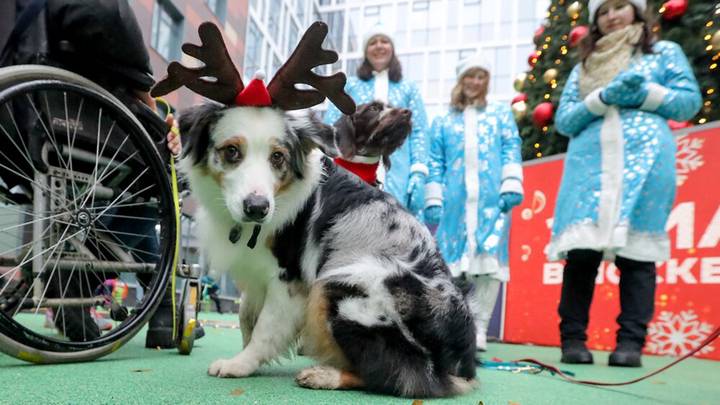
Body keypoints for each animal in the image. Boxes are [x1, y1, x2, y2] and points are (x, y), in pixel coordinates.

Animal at [176, 102, 476, 396]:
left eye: (277, 157)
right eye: (231, 151)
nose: (257, 208)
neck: (283, 193)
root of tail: (463, 363)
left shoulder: (290, 280)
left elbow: (265, 329)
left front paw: (240, 364)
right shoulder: (257, 271)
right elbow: (246, 317)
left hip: (344, 284)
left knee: (401, 375)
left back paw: (325, 375)